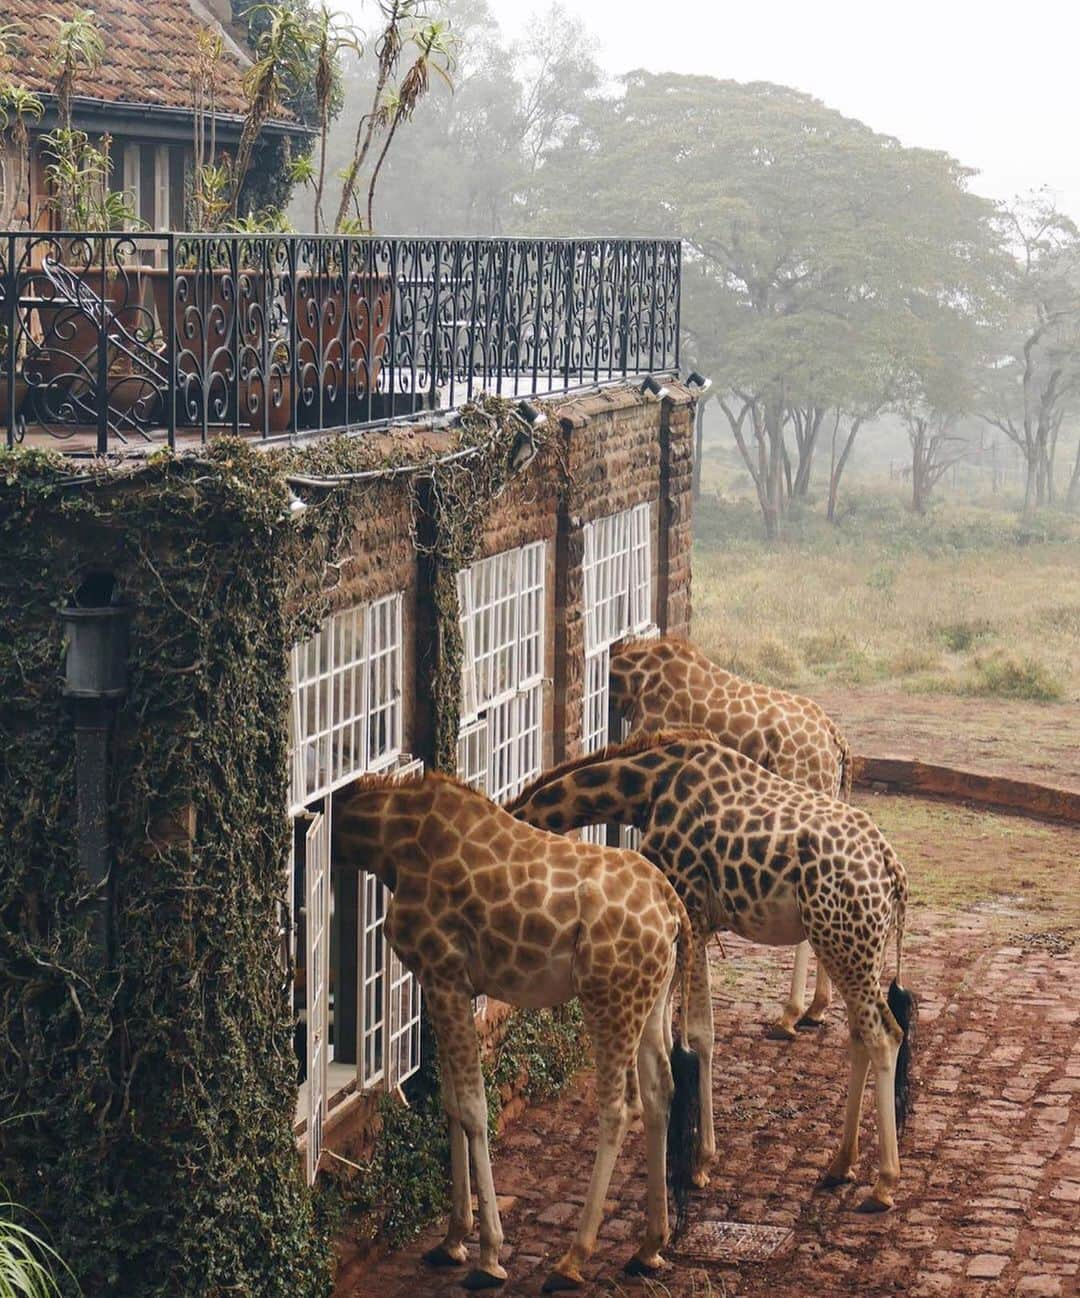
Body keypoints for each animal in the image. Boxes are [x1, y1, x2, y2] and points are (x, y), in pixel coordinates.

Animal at [332, 768, 706, 1287]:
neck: (391, 843)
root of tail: (671, 905)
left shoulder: (444, 974)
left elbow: (473, 1108)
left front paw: (489, 1256)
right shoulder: (440, 983)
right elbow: (451, 1104)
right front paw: (452, 1241)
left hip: (608, 998)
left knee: (619, 1107)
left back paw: (572, 1260)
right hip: (650, 1000)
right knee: (659, 1093)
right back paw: (649, 1247)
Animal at [508, 726, 919, 1209]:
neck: (643, 787)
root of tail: (894, 874)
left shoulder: (692, 911)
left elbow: (699, 1034)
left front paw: (699, 1162)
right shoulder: (690, 923)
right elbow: (681, 1035)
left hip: (845, 943)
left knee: (884, 1035)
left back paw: (884, 1184)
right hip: (856, 949)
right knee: (859, 1035)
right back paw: (840, 1164)